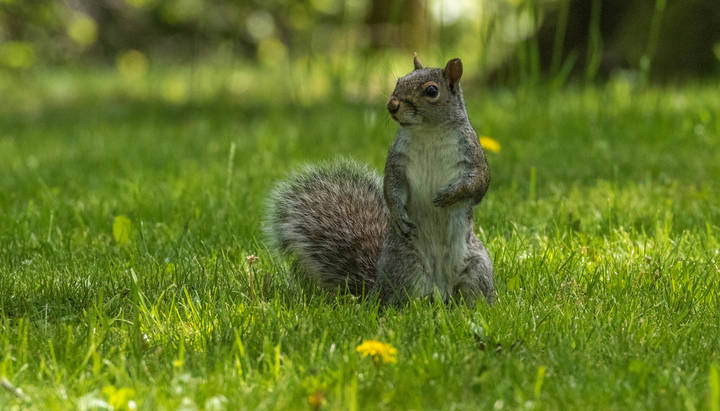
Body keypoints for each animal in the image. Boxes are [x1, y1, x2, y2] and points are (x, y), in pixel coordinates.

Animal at [264, 55, 494, 305]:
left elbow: (479, 184)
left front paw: (449, 196)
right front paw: (398, 214)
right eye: (399, 81)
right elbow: (391, 188)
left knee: (474, 295)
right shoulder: (397, 161)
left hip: (477, 268)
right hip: (404, 269)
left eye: (432, 90)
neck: (428, 132)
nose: (392, 105)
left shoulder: (472, 154)